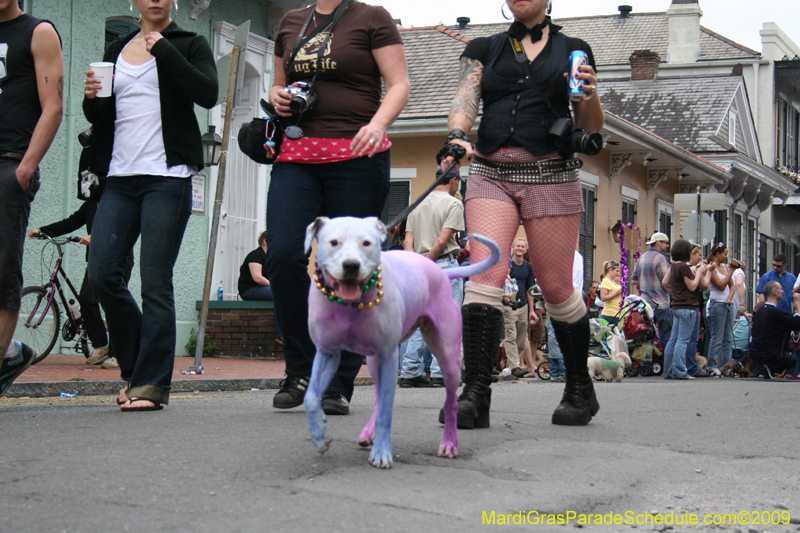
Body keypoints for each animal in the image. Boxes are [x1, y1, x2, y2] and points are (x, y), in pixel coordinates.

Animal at [304, 215, 496, 466]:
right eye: (334, 242)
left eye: (367, 243)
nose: (351, 266)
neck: (350, 305)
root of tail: (440, 272)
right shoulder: (327, 353)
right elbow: (311, 397)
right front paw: (320, 435)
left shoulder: (388, 356)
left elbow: (387, 411)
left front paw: (382, 452)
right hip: (374, 361)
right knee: (378, 398)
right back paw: (368, 434)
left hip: (447, 356)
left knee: (450, 401)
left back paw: (449, 443)